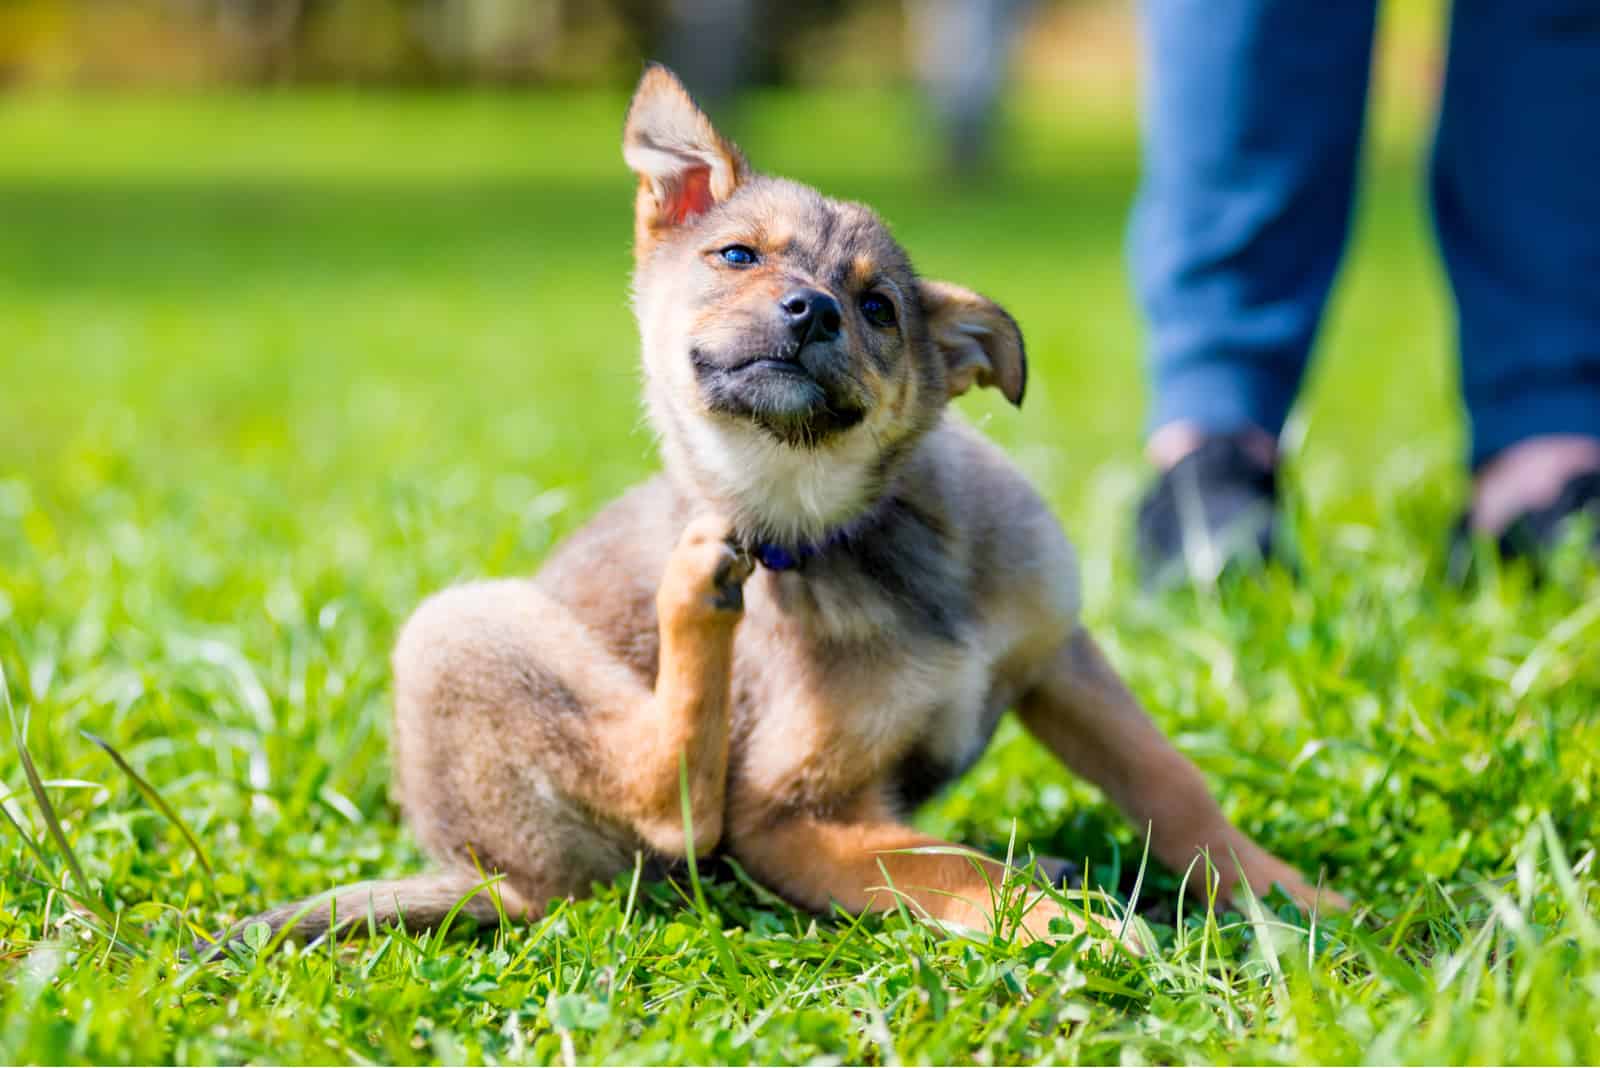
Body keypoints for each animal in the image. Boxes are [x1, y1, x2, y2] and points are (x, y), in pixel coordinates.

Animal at [212, 66, 1337, 952]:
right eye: (739, 256)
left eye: (879, 309)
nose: (812, 311)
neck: (851, 531)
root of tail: (485, 875)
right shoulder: (787, 817)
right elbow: (952, 867)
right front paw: (1075, 930)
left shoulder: (1058, 655)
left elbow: (1172, 784)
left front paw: (1290, 896)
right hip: (458, 628)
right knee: (670, 803)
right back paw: (694, 592)